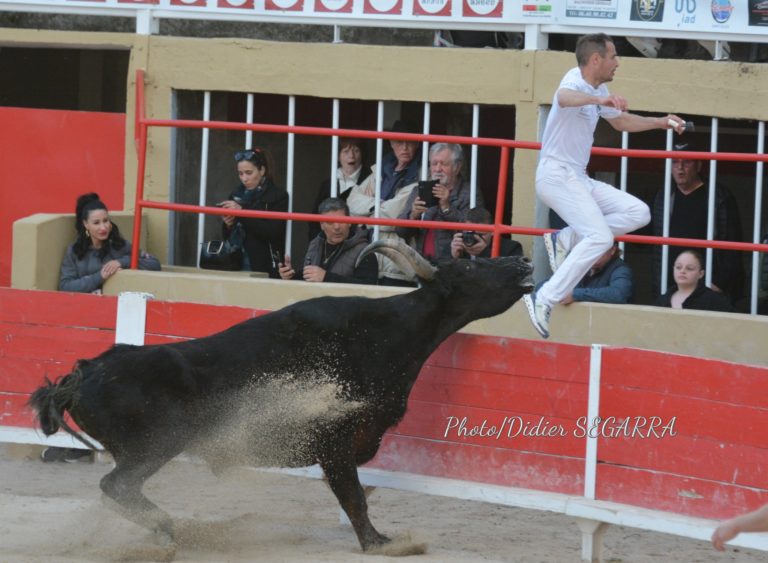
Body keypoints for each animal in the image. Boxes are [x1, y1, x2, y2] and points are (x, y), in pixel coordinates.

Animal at [28, 240, 536, 556]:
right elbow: (355, 497)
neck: (384, 332)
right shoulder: (335, 443)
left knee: (118, 492)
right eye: (469, 268)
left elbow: (355, 495)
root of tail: (83, 374)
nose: (524, 265)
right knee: (116, 487)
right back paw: (174, 530)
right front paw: (381, 544)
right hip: (154, 447)